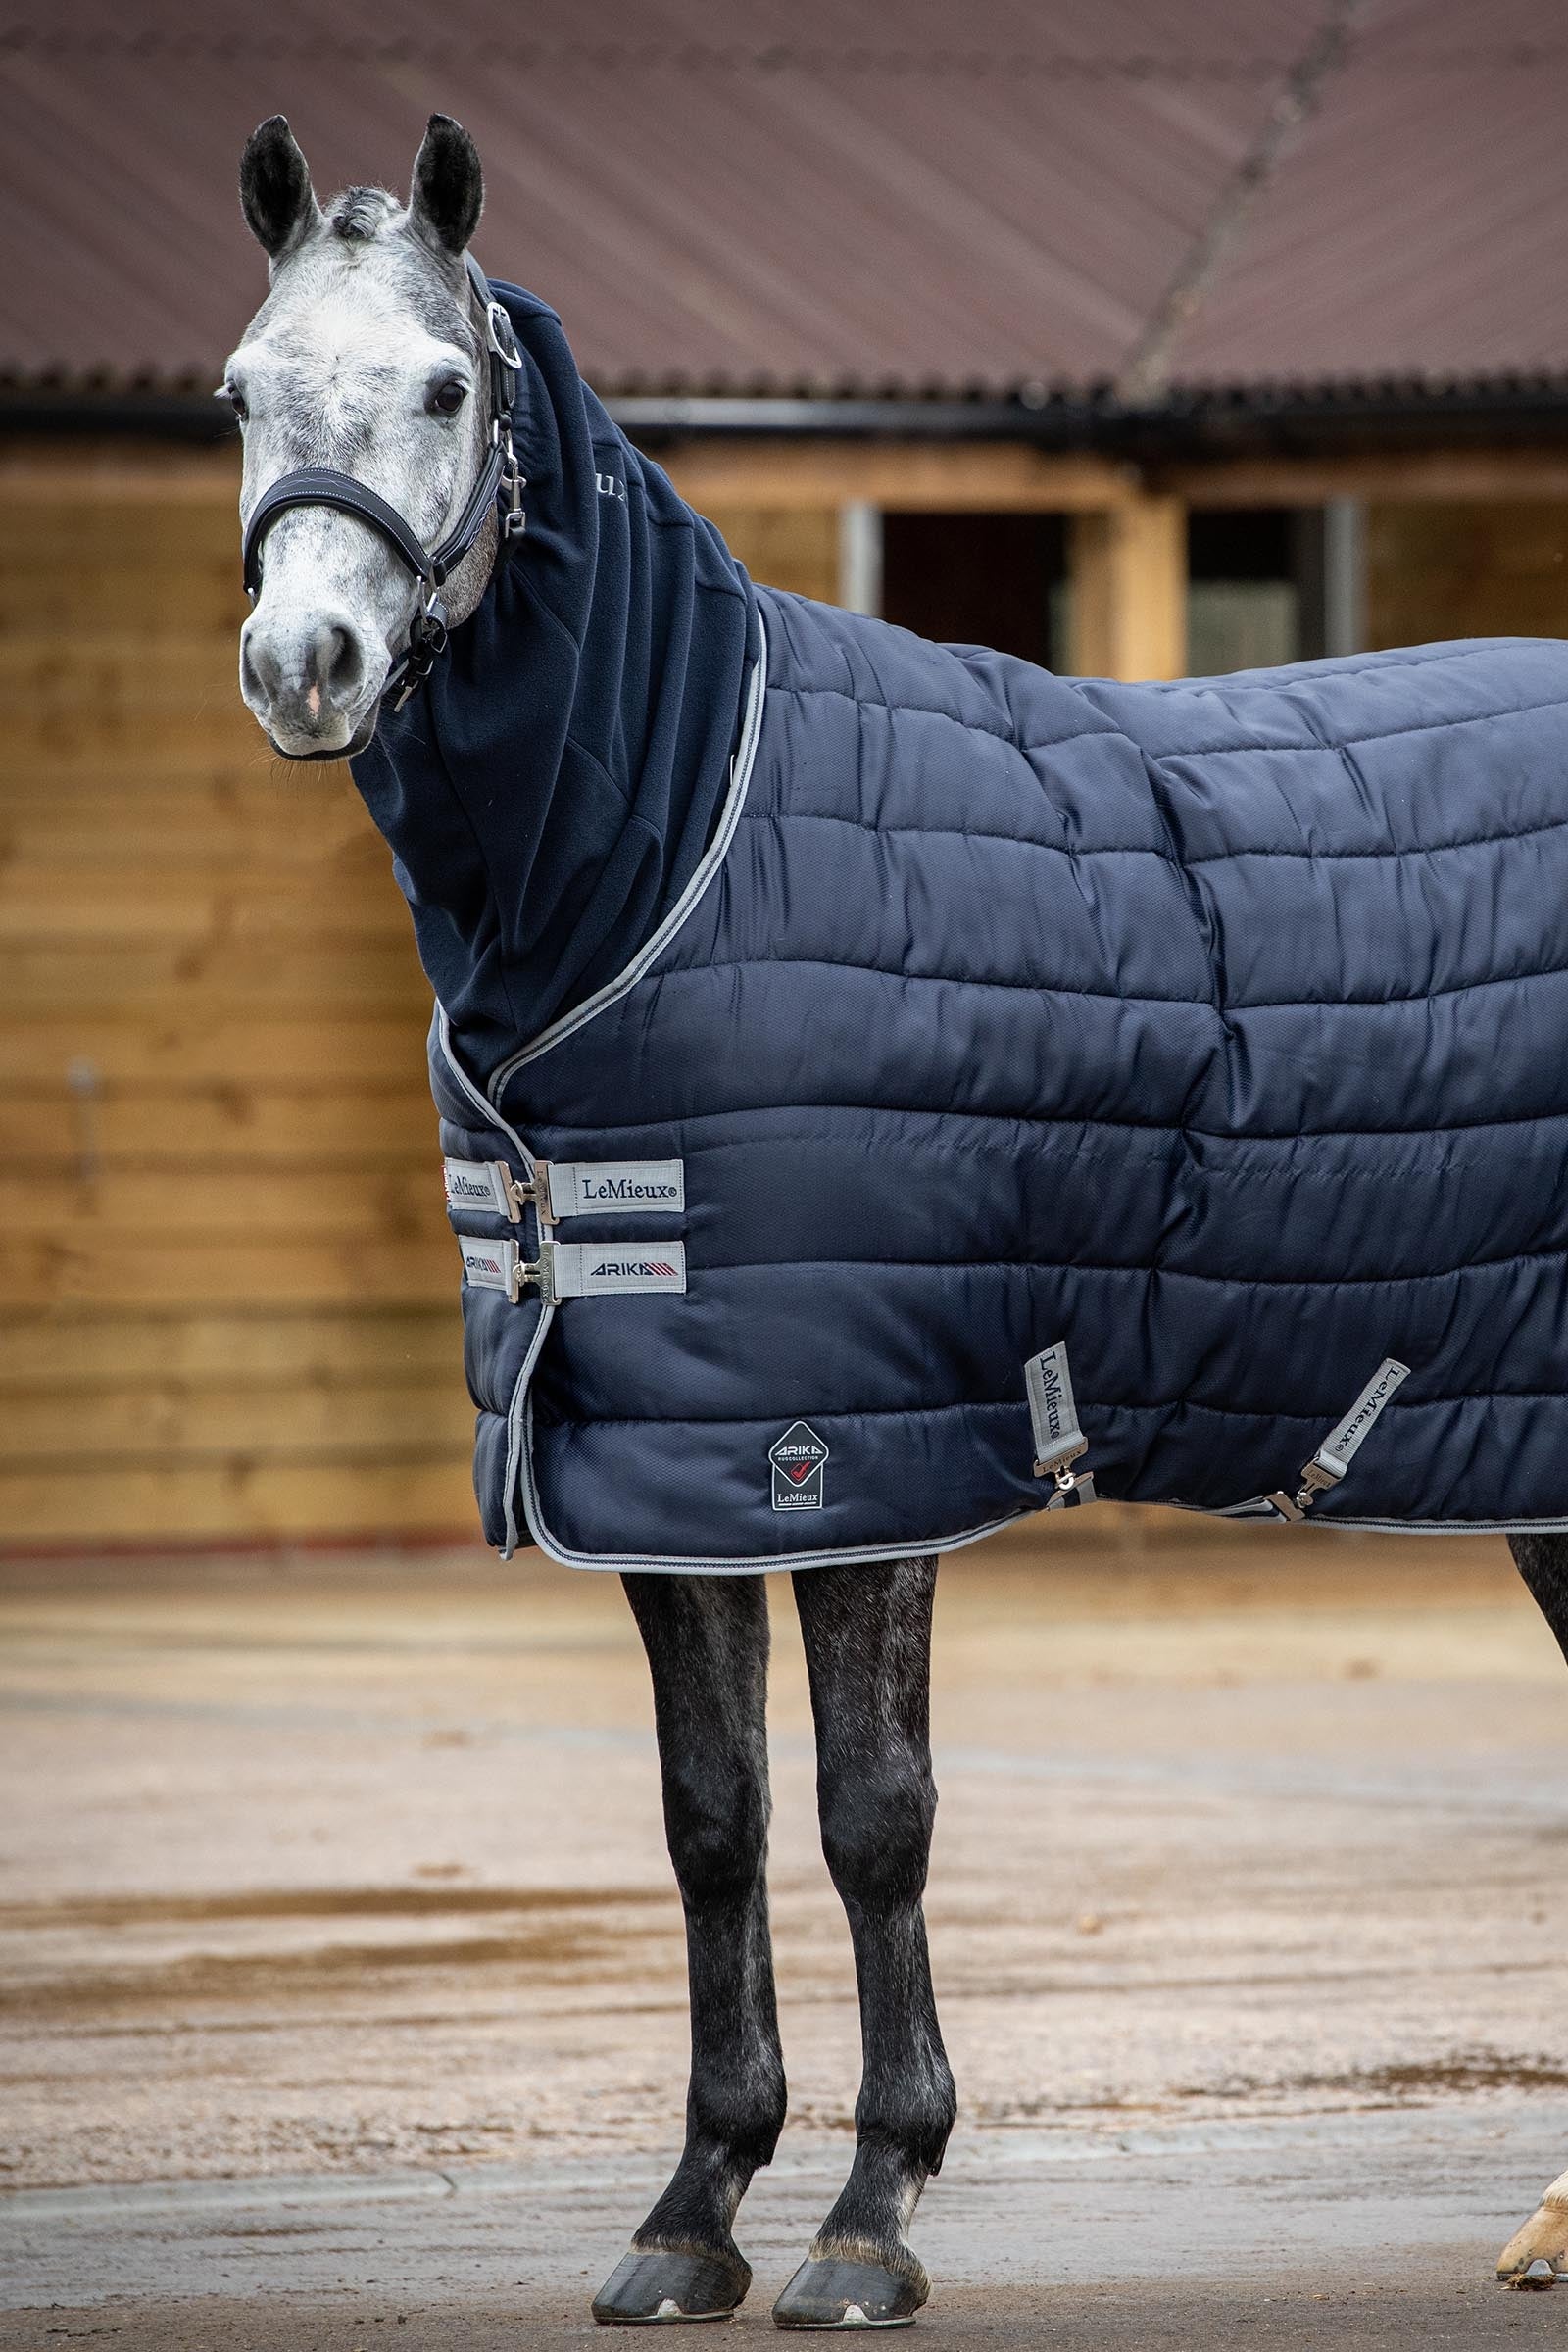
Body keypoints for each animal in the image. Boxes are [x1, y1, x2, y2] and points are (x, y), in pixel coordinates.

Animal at [226, 111, 1568, 2323]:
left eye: (437, 386)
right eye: (241, 391)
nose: (301, 666)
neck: (683, 846)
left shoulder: (841, 1447)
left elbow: (872, 1816)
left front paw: (869, 2212)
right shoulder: (656, 1454)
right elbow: (710, 1818)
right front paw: (689, 2212)